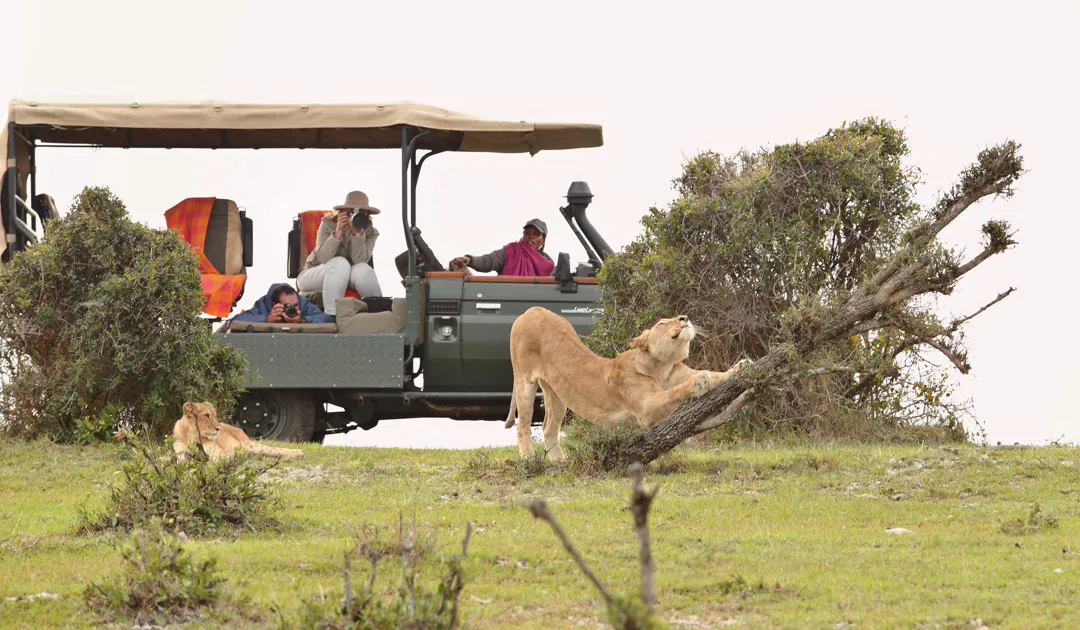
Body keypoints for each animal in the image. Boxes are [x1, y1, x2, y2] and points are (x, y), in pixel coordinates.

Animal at [172, 401, 304, 461]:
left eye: (215, 416)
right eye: (206, 416)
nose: (219, 428)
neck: (191, 437)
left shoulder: (220, 453)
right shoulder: (180, 453)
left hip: (249, 444)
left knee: (273, 450)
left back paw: (297, 453)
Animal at [504, 307, 751, 460]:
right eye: (663, 322)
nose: (685, 318)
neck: (661, 367)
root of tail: (532, 310)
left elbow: (717, 375)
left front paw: (742, 366)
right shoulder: (645, 409)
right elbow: (673, 393)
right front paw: (698, 382)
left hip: (558, 394)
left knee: (548, 428)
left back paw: (559, 461)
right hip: (524, 380)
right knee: (523, 426)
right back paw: (528, 458)